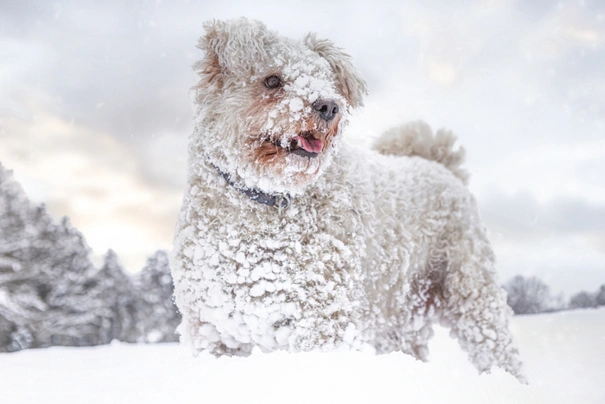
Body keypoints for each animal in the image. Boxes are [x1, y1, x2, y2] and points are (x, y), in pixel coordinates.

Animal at [171, 16, 524, 382]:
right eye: (272, 80)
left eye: (328, 82)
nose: (329, 105)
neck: (267, 199)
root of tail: (440, 164)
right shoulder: (213, 327)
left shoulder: (321, 318)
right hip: (400, 316)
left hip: (471, 292)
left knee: (500, 349)